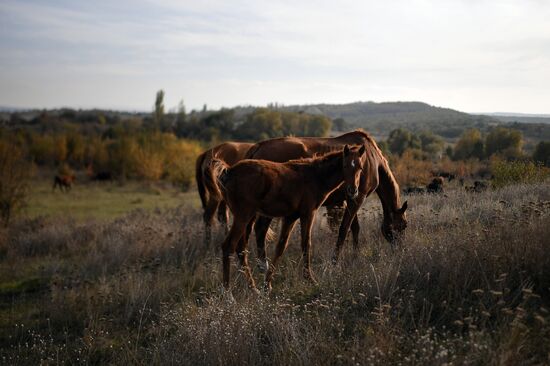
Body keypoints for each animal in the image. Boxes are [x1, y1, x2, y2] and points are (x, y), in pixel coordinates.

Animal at [211, 144, 366, 290]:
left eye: (360, 167)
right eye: (345, 166)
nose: (353, 190)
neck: (315, 176)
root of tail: (229, 171)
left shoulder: (290, 217)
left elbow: (280, 247)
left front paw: (267, 284)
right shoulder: (308, 213)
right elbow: (306, 244)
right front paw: (310, 279)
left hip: (247, 217)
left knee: (241, 248)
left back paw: (253, 288)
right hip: (243, 216)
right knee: (229, 246)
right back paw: (228, 292)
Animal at [246, 130, 410, 268]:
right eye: (403, 226)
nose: (400, 250)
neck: (372, 159)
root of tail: (258, 146)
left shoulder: (350, 198)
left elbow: (354, 228)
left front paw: (355, 255)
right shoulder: (357, 198)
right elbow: (344, 230)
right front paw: (335, 261)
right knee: (260, 229)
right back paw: (263, 265)